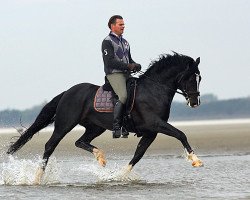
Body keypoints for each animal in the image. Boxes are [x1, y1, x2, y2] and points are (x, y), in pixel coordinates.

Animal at [7, 52, 203, 184]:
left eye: (199, 78)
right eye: (190, 77)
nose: (195, 102)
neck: (154, 90)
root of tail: (68, 92)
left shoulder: (150, 132)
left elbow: (138, 154)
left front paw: (120, 176)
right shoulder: (155, 124)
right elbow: (181, 134)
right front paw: (195, 160)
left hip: (96, 127)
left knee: (80, 141)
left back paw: (100, 157)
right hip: (65, 124)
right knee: (50, 146)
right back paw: (37, 179)